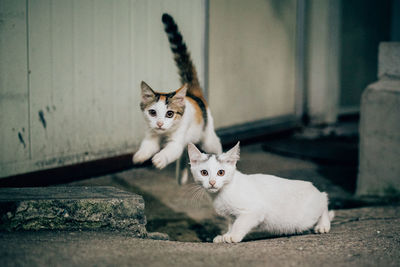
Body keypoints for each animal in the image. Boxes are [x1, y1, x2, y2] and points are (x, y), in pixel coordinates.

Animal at [134, 13, 222, 183]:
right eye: (152, 112)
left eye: (170, 114)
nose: (160, 123)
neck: (164, 134)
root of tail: (194, 94)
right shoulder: (151, 134)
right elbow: (148, 146)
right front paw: (140, 155)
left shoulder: (177, 141)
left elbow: (171, 150)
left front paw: (159, 158)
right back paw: (182, 175)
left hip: (207, 138)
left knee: (217, 145)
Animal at [188, 143, 334, 244]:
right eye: (204, 173)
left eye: (221, 172)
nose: (212, 182)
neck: (222, 192)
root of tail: (313, 188)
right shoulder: (232, 215)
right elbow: (232, 223)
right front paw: (224, 235)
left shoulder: (255, 210)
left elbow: (240, 224)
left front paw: (232, 236)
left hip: (307, 215)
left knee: (325, 199)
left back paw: (323, 225)